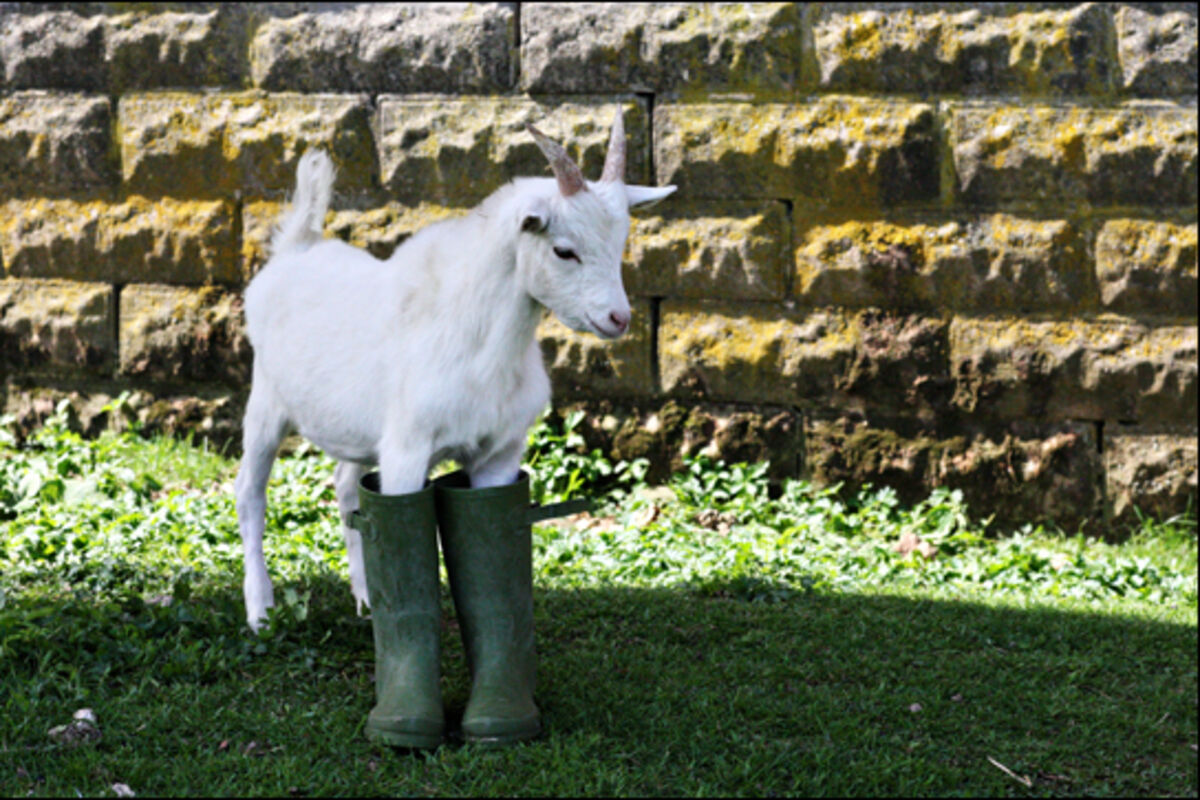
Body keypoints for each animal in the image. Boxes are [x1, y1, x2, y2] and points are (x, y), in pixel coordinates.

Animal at [234, 109, 676, 633]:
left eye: (620, 242)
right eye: (564, 250)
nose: (618, 318)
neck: (476, 342)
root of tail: (295, 249)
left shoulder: (499, 454)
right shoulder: (406, 450)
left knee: (345, 488)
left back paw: (365, 598)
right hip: (265, 402)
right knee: (250, 492)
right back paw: (260, 610)